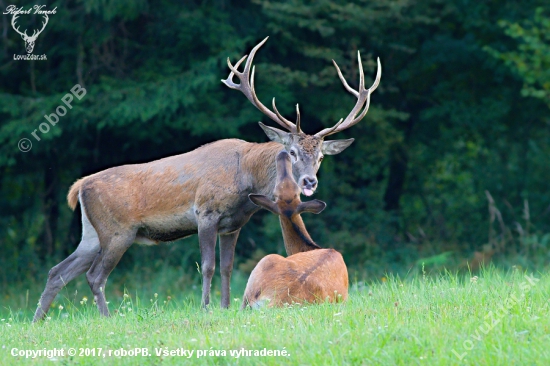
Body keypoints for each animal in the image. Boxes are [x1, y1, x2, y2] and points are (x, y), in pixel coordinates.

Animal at [243, 151, 350, 308]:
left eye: (296, 189)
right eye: (276, 191)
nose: (283, 154)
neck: (309, 247)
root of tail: (277, 301)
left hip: (263, 264)